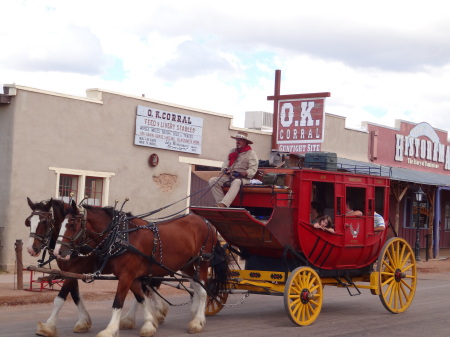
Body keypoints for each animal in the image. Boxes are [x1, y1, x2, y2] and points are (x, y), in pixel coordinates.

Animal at [25, 197, 169, 336]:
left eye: (44, 222)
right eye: (28, 222)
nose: (31, 249)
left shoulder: (74, 270)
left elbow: (61, 298)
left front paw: (48, 327)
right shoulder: (70, 272)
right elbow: (75, 295)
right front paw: (84, 322)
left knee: (144, 289)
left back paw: (145, 315)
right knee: (144, 290)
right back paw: (152, 314)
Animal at [53, 200, 229, 336]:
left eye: (71, 224)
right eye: (60, 223)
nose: (57, 252)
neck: (121, 236)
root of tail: (205, 221)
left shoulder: (126, 275)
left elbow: (118, 302)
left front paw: (110, 330)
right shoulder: (130, 276)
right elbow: (140, 297)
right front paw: (149, 324)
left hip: (203, 261)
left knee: (203, 291)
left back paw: (198, 321)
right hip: (186, 265)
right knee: (196, 287)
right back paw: (195, 314)